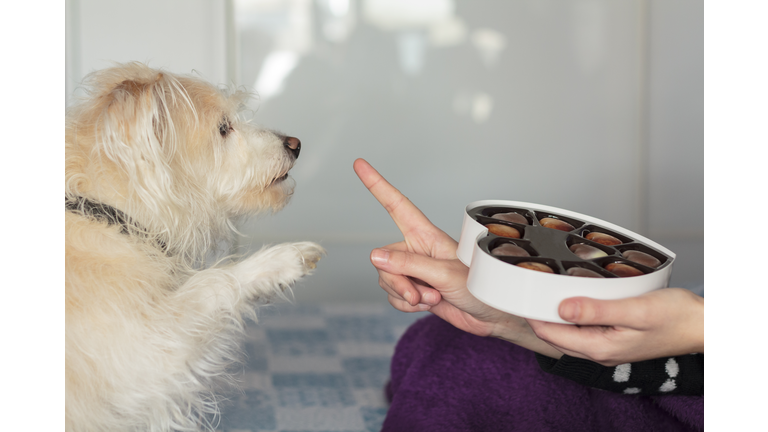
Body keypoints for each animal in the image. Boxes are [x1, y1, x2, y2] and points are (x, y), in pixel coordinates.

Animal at [65, 62, 324, 430]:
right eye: (223, 128)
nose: (296, 144)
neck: (108, 214)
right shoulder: (144, 352)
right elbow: (212, 282)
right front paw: (281, 261)